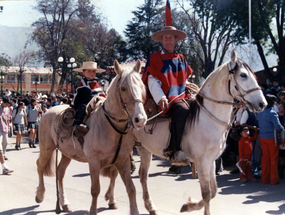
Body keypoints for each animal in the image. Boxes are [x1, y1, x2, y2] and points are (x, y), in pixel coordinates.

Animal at [34, 59, 148, 215]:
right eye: (124, 88)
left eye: (142, 86)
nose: (140, 119)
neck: (110, 126)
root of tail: (47, 112)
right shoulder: (94, 162)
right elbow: (95, 189)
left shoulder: (122, 160)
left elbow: (131, 188)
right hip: (47, 147)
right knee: (40, 165)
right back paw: (40, 195)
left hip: (67, 153)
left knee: (60, 172)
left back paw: (64, 203)